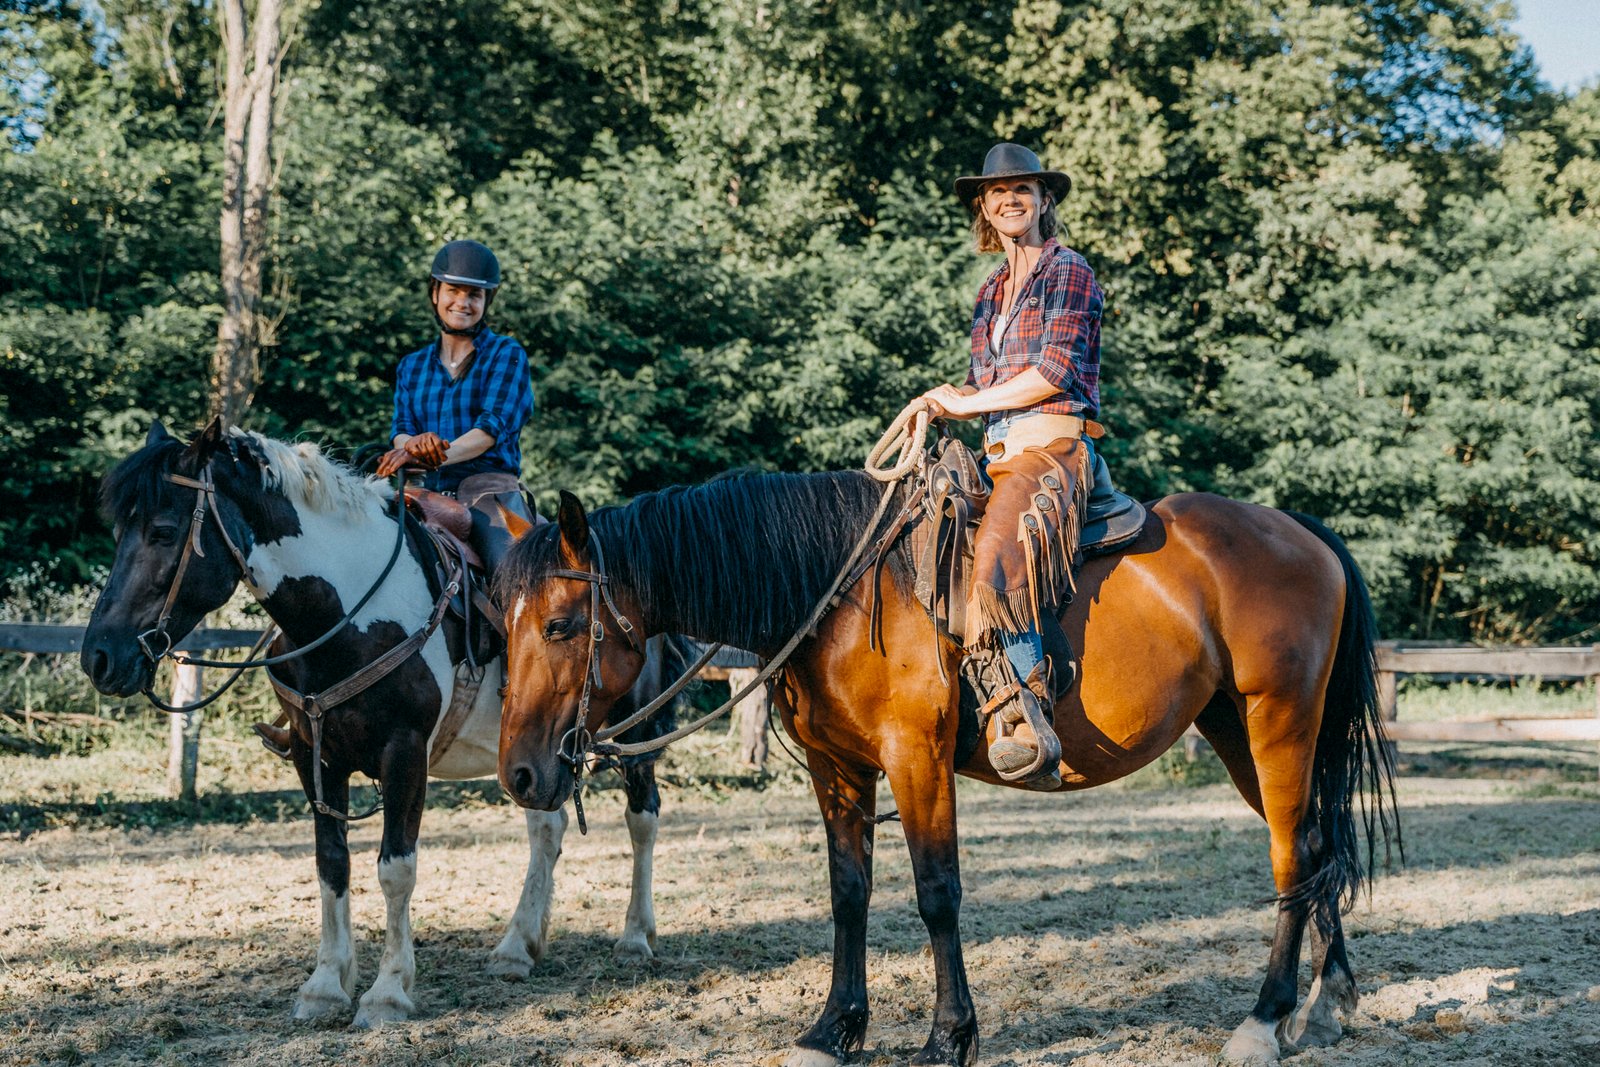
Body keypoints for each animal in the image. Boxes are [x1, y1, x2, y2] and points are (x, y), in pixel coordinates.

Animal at [82, 422, 681, 1030]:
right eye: (119, 531)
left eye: (163, 531)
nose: (99, 658)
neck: (350, 612)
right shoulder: (315, 757)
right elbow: (331, 864)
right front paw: (325, 986)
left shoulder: (405, 754)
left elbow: (396, 868)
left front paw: (387, 992)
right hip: (536, 752)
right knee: (547, 828)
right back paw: (517, 947)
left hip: (631, 733)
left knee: (642, 820)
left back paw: (635, 938)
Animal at [492, 476, 1395, 1067]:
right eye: (503, 623)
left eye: (563, 623)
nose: (521, 776)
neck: (838, 593)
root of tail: (1302, 532)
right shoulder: (838, 767)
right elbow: (849, 893)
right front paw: (835, 1029)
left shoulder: (914, 758)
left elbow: (936, 894)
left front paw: (947, 1034)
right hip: (1240, 733)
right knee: (1316, 848)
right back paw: (1326, 1004)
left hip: (1279, 723)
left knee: (1292, 858)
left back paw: (1262, 1021)